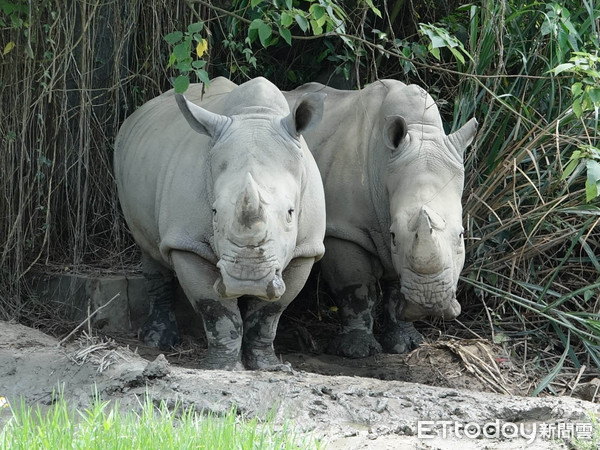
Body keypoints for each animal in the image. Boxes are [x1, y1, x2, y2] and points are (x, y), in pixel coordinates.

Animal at [114, 77, 326, 370]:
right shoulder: (186, 242)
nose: (246, 279)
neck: (255, 115)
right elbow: (214, 307)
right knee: (150, 248)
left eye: (290, 213)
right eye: (214, 212)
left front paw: (267, 365)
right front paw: (221, 367)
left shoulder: (306, 249)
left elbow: (270, 310)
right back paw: (158, 340)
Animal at [286, 79, 478, 356]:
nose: (429, 303)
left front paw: (405, 344)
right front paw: (356, 351)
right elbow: (355, 286)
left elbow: (396, 287)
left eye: (462, 236)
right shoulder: (344, 229)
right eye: (393, 235)